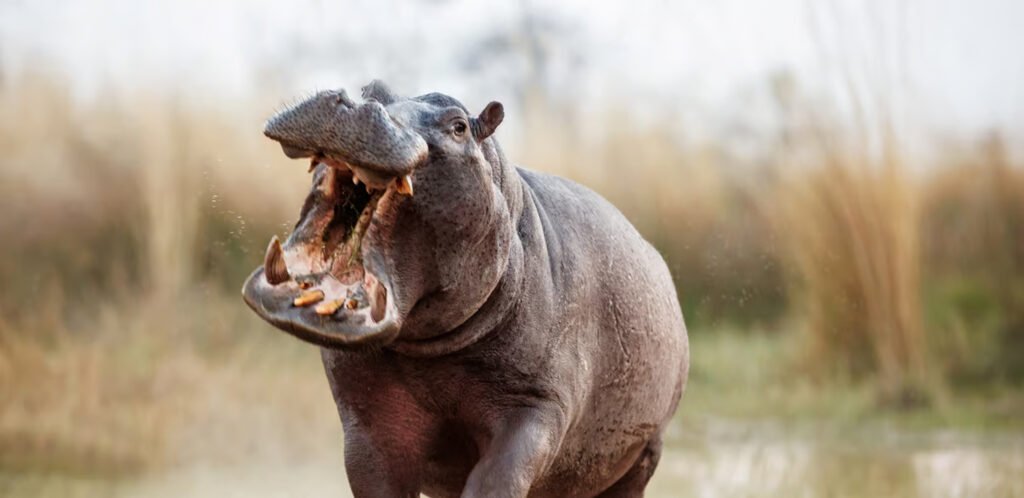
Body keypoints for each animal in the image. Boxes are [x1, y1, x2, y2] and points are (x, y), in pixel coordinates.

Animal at [241, 79, 688, 495]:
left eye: (458, 126)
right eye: (372, 87)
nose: (352, 103)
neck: (429, 351)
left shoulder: (535, 406)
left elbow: (495, 480)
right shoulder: (367, 421)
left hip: (644, 455)